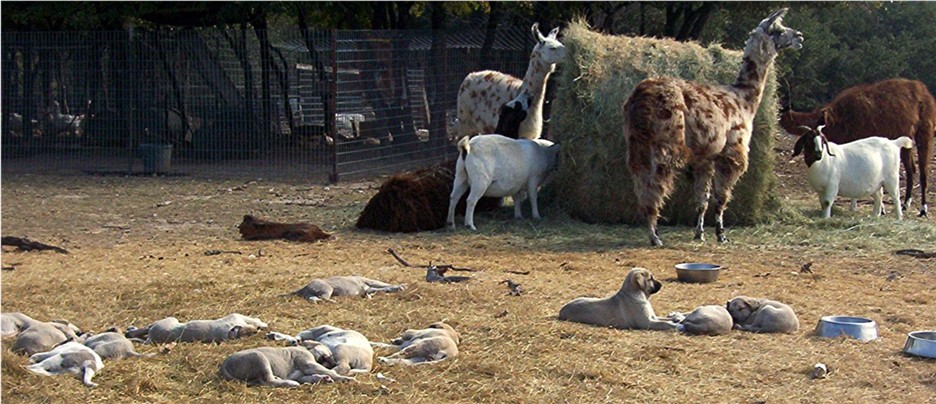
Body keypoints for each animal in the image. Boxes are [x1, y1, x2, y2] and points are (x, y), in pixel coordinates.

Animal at [219, 340, 354, 388]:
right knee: (267, 381)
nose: (334, 363)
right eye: (330, 355)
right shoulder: (308, 363)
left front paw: (324, 379)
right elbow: (328, 372)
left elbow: (312, 377)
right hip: (259, 358)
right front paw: (344, 377)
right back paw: (290, 383)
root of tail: (224, 365)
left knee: (264, 380)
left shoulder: (302, 375)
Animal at [788, 126, 916, 221]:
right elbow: (822, 203)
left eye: (823, 141)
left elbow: (827, 202)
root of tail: (894, 143)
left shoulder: (832, 185)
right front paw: (823, 216)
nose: (818, 154)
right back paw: (875, 216)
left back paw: (899, 218)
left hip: (891, 178)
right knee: (879, 196)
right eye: (809, 139)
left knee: (895, 196)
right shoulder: (820, 190)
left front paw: (826, 218)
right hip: (876, 182)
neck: (824, 160)